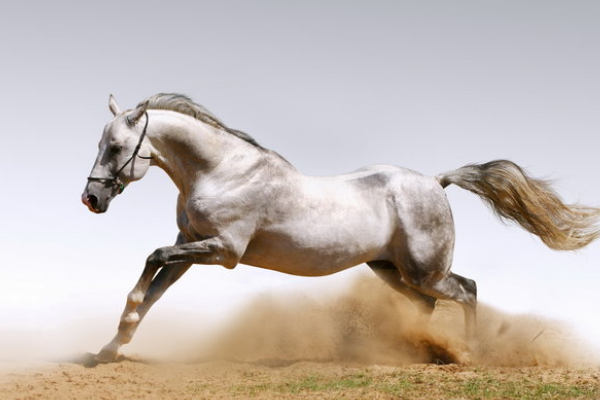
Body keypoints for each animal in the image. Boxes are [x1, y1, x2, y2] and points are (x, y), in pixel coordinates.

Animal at [82, 94, 596, 362]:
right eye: (103, 144)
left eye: (117, 147)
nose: (91, 199)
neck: (222, 171)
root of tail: (436, 181)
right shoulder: (189, 243)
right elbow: (153, 290)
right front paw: (110, 348)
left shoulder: (223, 250)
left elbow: (150, 262)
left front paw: (118, 332)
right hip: (389, 269)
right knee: (428, 305)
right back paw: (416, 351)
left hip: (424, 270)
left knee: (467, 290)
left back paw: (468, 353)